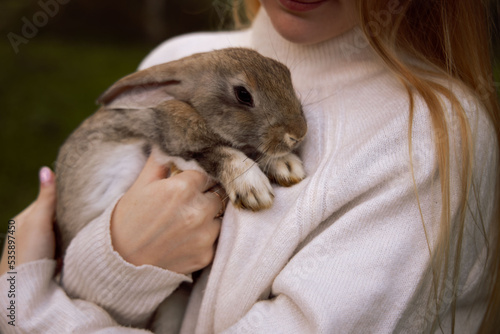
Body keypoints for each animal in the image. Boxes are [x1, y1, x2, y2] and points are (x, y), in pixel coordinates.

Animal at [53, 46, 304, 250]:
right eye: (243, 94)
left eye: (286, 72)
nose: (298, 134)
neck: (196, 110)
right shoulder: (175, 146)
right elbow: (222, 153)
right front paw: (254, 189)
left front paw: (287, 166)